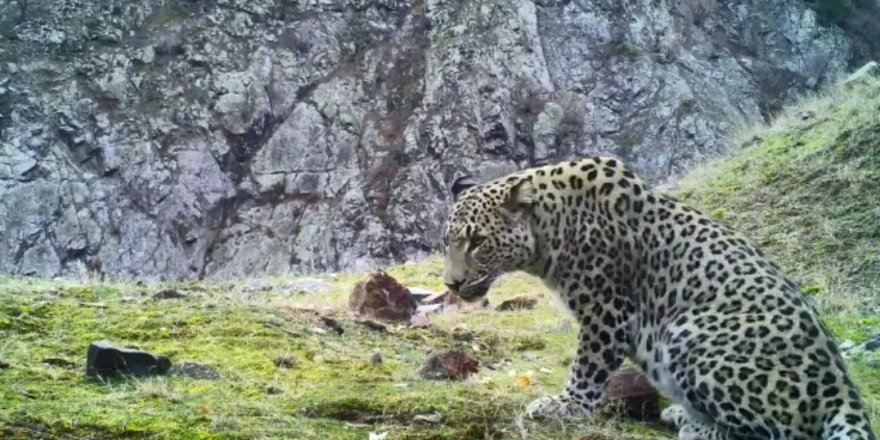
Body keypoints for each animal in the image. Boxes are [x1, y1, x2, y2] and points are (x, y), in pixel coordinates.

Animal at [444, 157, 876, 440]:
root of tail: (844, 389)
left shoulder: (606, 311)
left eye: (478, 242)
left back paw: (694, 425)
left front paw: (563, 406)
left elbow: (587, 369)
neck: (552, 227)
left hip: (690, 333)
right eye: (448, 241)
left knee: (778, 433)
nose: (450, 284)